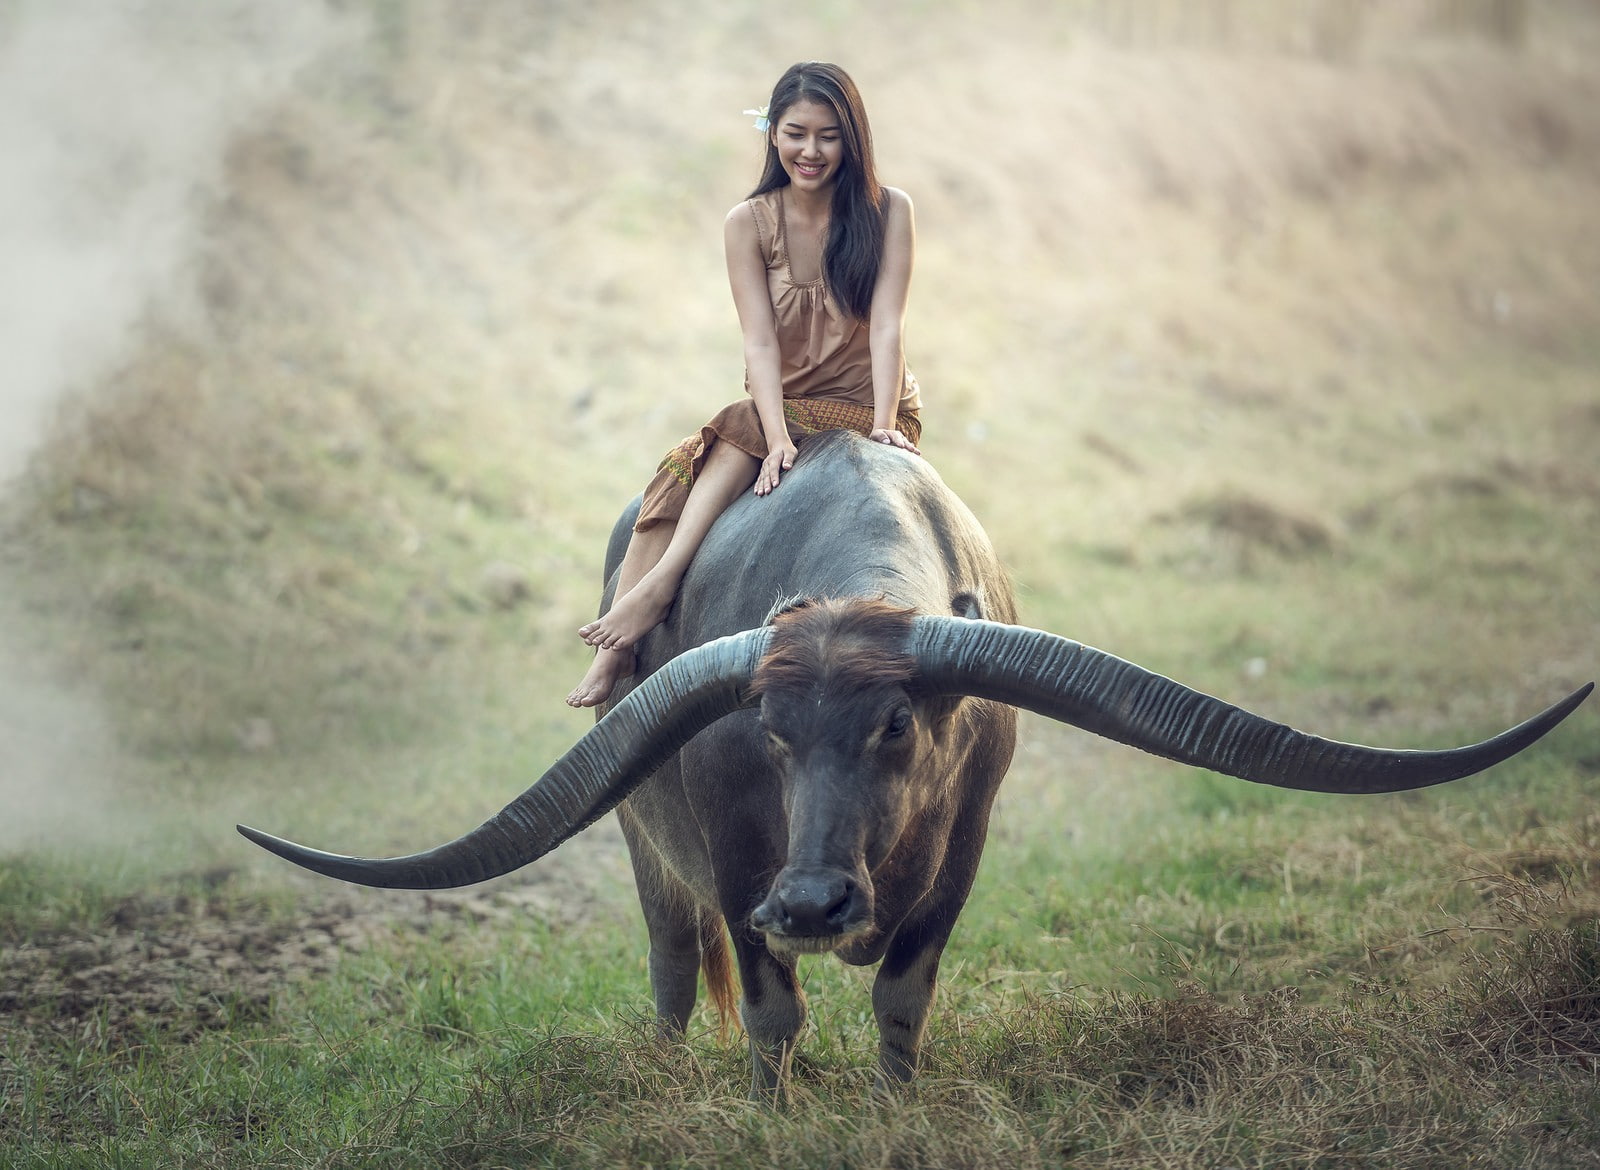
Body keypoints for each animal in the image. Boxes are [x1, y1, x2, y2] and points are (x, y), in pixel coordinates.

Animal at [240, 429, 1590, 1101]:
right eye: (770, 732)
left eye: (898, 725)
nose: (812, 902)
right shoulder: (737, 857)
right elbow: (771, 1011)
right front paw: (768, 1115)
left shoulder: (962, 855)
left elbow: (902, 993)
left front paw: (893, 1109)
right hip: (641, 844)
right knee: (674, 963)